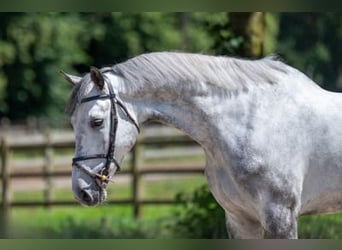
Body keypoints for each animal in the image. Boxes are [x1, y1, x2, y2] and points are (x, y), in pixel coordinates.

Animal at [61, 51, 342, 239]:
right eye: (72, 123)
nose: (81, 191)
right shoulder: (240, 219)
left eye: (96, 121)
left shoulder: (280, 219)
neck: (250, 121)